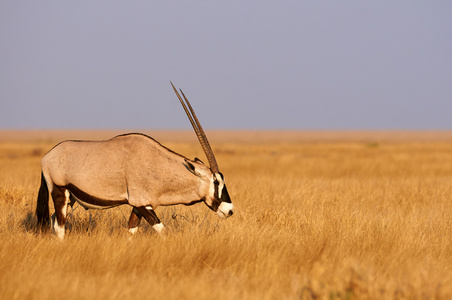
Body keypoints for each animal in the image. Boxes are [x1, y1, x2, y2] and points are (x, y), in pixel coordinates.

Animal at [35, 82, 233, 239]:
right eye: (216, 182)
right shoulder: (142, 203)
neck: (158, 165)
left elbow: (131, 231)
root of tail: (47, 156)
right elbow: (162, 230)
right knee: (60, 226)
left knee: (54, 222)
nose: (230, 210)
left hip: (71, 198)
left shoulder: (139, 205)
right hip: (59, 192)